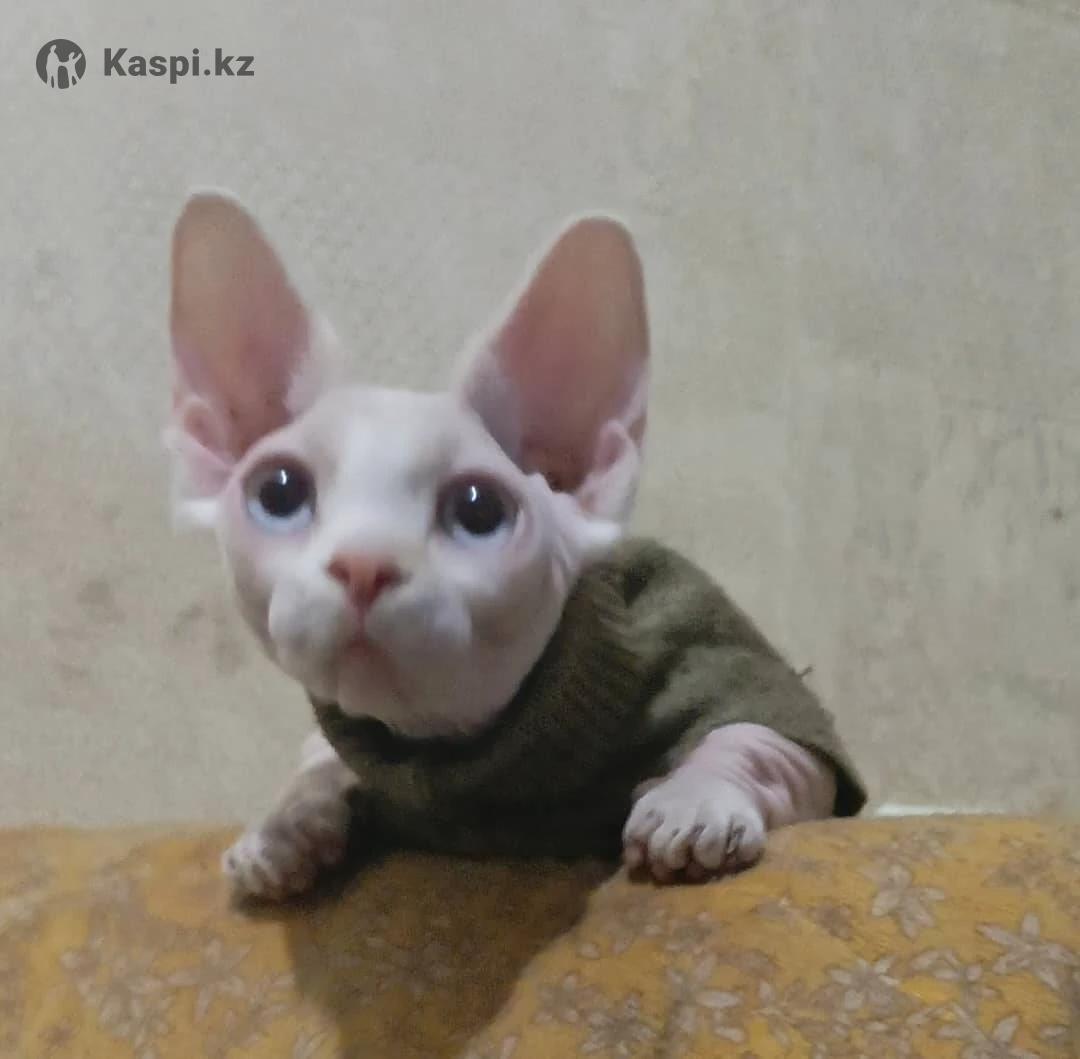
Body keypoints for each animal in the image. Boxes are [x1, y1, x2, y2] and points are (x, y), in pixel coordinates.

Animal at [165, 191, 865, 900]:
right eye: (279, 492)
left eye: (479, 510)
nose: (363, 565)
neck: (446, 738)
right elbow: (314, 762)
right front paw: (283, 827)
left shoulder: (704, 642)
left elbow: (757, 740)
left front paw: (692, 804)